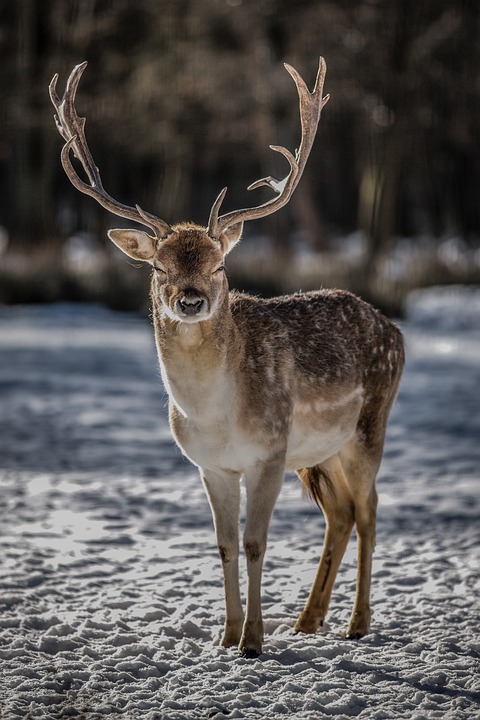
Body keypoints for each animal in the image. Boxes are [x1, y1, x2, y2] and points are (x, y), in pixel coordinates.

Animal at [48, 57, 404, 660]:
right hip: (320, 451)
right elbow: (225, 545)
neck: (215, 415)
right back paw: (307, 621)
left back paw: (357, 624)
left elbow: (257, 542)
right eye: (159, 267)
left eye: (218, 265)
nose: (191, 299)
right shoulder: (210, 465)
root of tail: (396, 329)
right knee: (341, 514)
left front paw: (254, 641)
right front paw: (226, 635)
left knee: (370, 511)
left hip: (367, 427)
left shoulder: (268, 452)